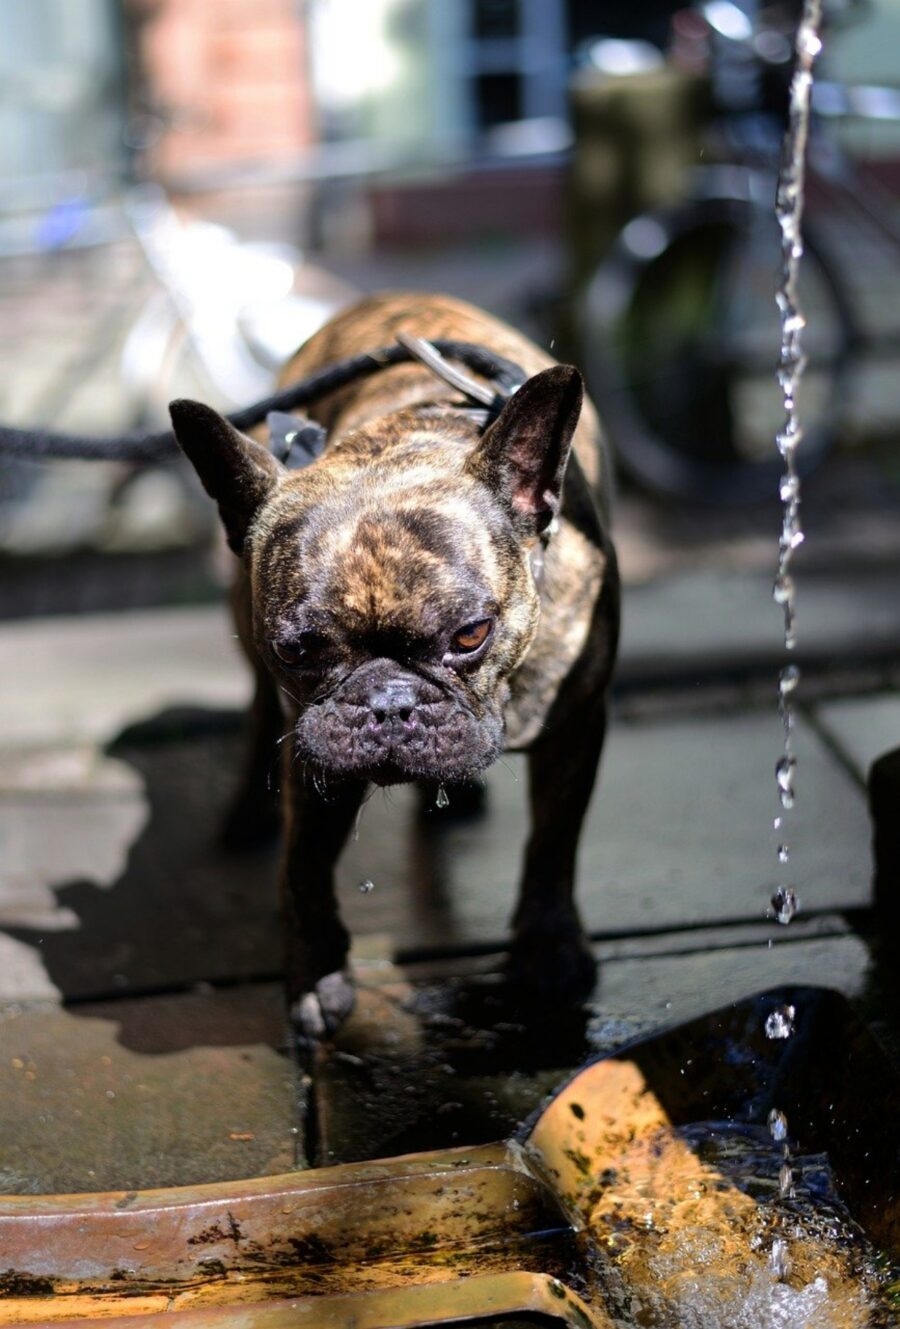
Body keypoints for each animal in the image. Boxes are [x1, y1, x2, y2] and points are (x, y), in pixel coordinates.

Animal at [168, 291, 616, 1036]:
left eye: (471, 635)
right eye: (299, 649)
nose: (389, 702)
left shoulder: (575, 724)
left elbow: (553, 843)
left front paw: (549, 956)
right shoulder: (312, 751)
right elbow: (304, 865)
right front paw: (315, 975)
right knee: (258, 715)